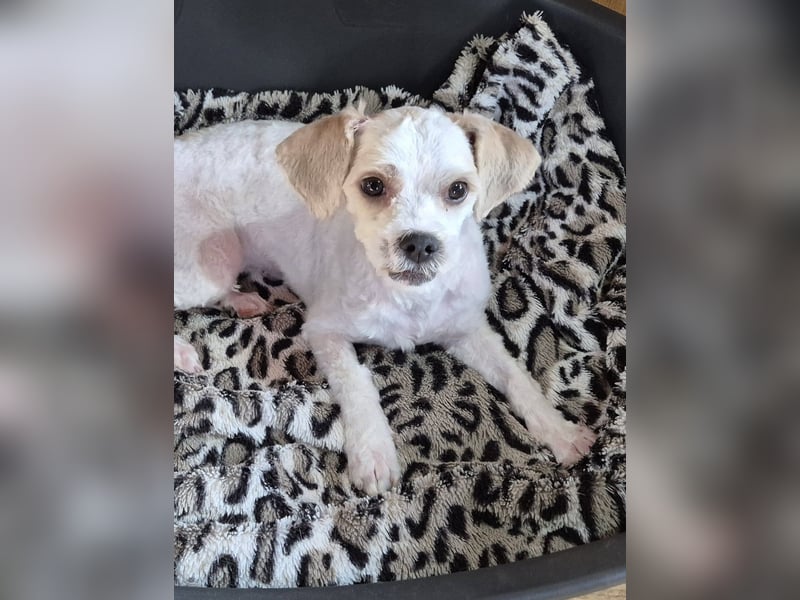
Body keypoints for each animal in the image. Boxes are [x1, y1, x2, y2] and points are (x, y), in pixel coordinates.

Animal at [174, 106, 597, 494]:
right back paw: (182, 350)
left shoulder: (467, 329)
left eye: (458, 190)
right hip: (211, 263)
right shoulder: (323, 330)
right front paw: (373, 454)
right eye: (373, 185)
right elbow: (357, 384)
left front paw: (560, 431)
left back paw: (241, 301)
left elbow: (516, 376)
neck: (410, 297)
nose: (420, 243)